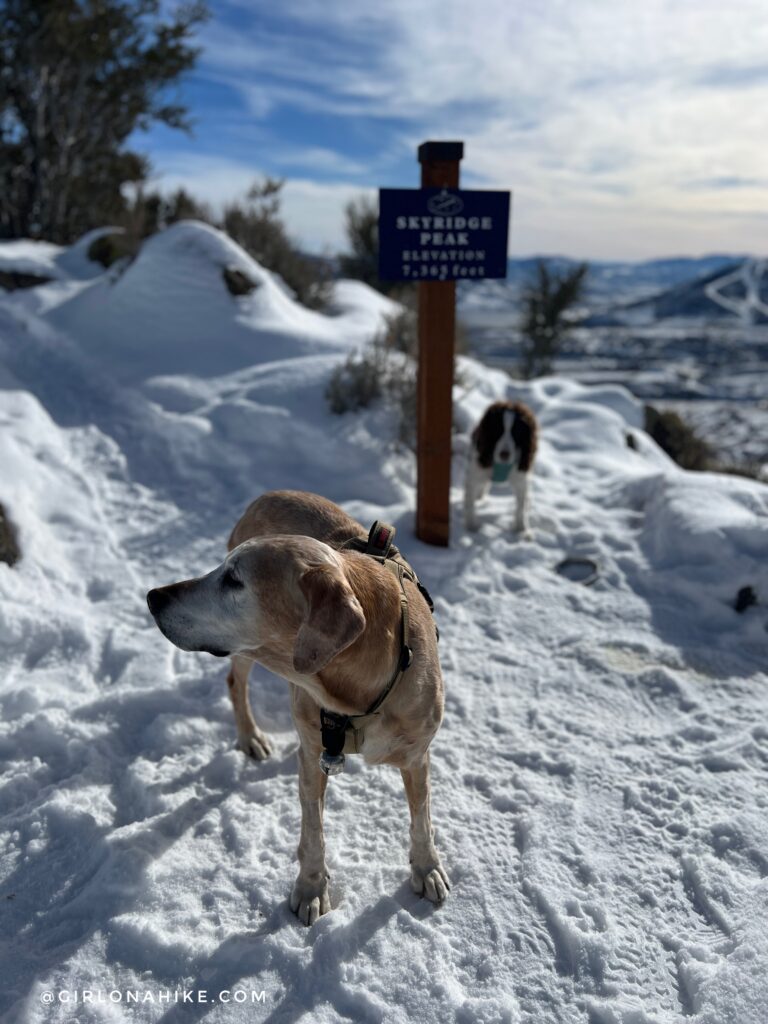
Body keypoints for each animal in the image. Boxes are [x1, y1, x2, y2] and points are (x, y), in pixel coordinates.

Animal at [145, 491, 450, 925]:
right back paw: (251, 737)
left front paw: (427, 868)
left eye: (233, 579)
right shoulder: (313, 755)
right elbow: (313, 831)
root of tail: (266, 495)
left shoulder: (417, 754)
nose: (153, 596)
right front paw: (311, 888)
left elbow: (421, 818)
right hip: (246, 654)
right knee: (236, 684)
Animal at [466, 399, 536, 532]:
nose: (504, 455)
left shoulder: (521, 480)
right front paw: (472, 525)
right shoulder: (474, 475)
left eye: (517, 432)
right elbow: (469, 501)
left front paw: (521, 527)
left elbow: (521, 506)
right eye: (497, 430)